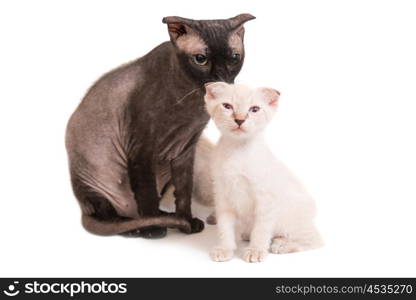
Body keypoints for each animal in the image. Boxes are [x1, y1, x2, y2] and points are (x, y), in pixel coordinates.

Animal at [205, 82, 322, 262]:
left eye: (254, 109)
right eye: (227, 106)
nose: (240, 119)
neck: (238, 150)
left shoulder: (265, 200)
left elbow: (261, 229)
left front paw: (256, 251)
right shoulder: (223, 195)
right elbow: (225, 229)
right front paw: (225, 249)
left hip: (288, 221)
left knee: (315, 239)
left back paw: (281, 245)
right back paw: (248, 235)